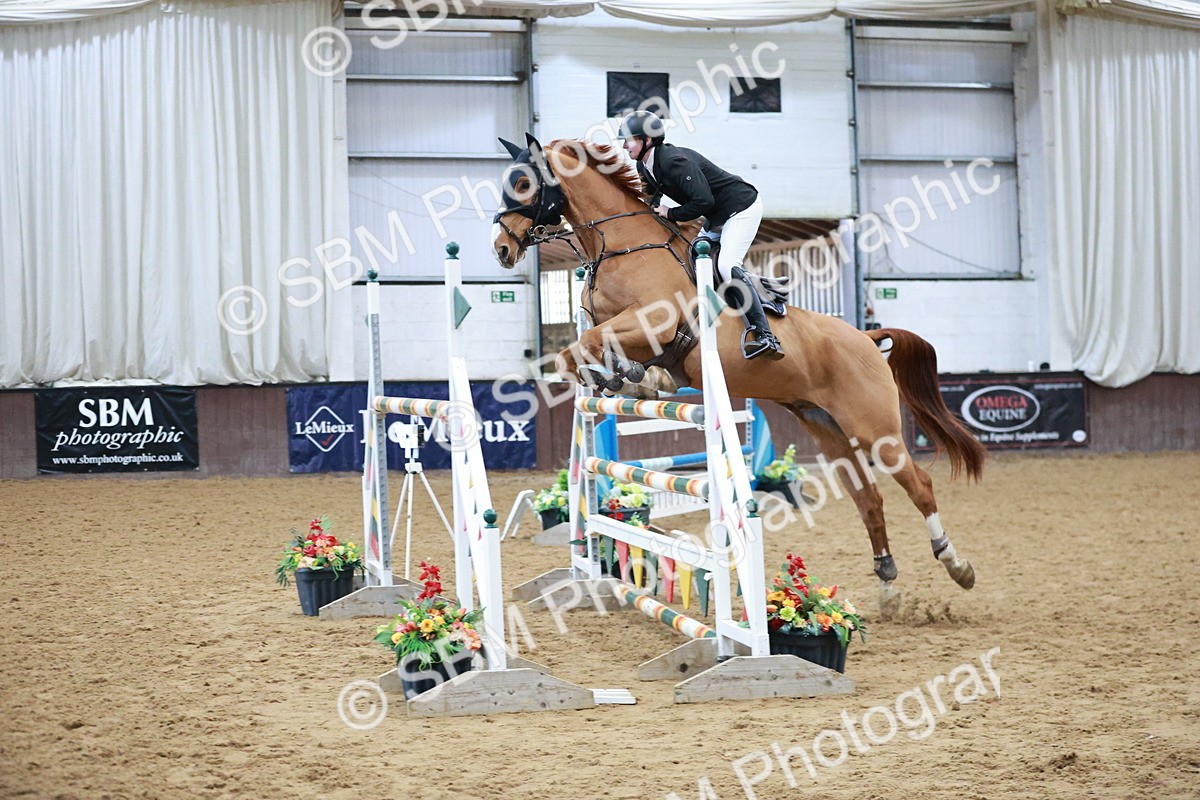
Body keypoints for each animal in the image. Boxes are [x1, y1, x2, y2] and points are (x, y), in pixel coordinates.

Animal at [490, 134, 986, 614]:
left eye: (524, 184)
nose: (501, 249)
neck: (621, 244)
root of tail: (867, 338)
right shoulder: (616, 328)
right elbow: (575, 353)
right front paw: (628, 378)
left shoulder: (655, 323)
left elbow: (587, 346)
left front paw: (626, 375)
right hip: (830, 431)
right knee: (869, 499)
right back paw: (887, 585)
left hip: (875, 429)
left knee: (919, 486)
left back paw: (956, 564)